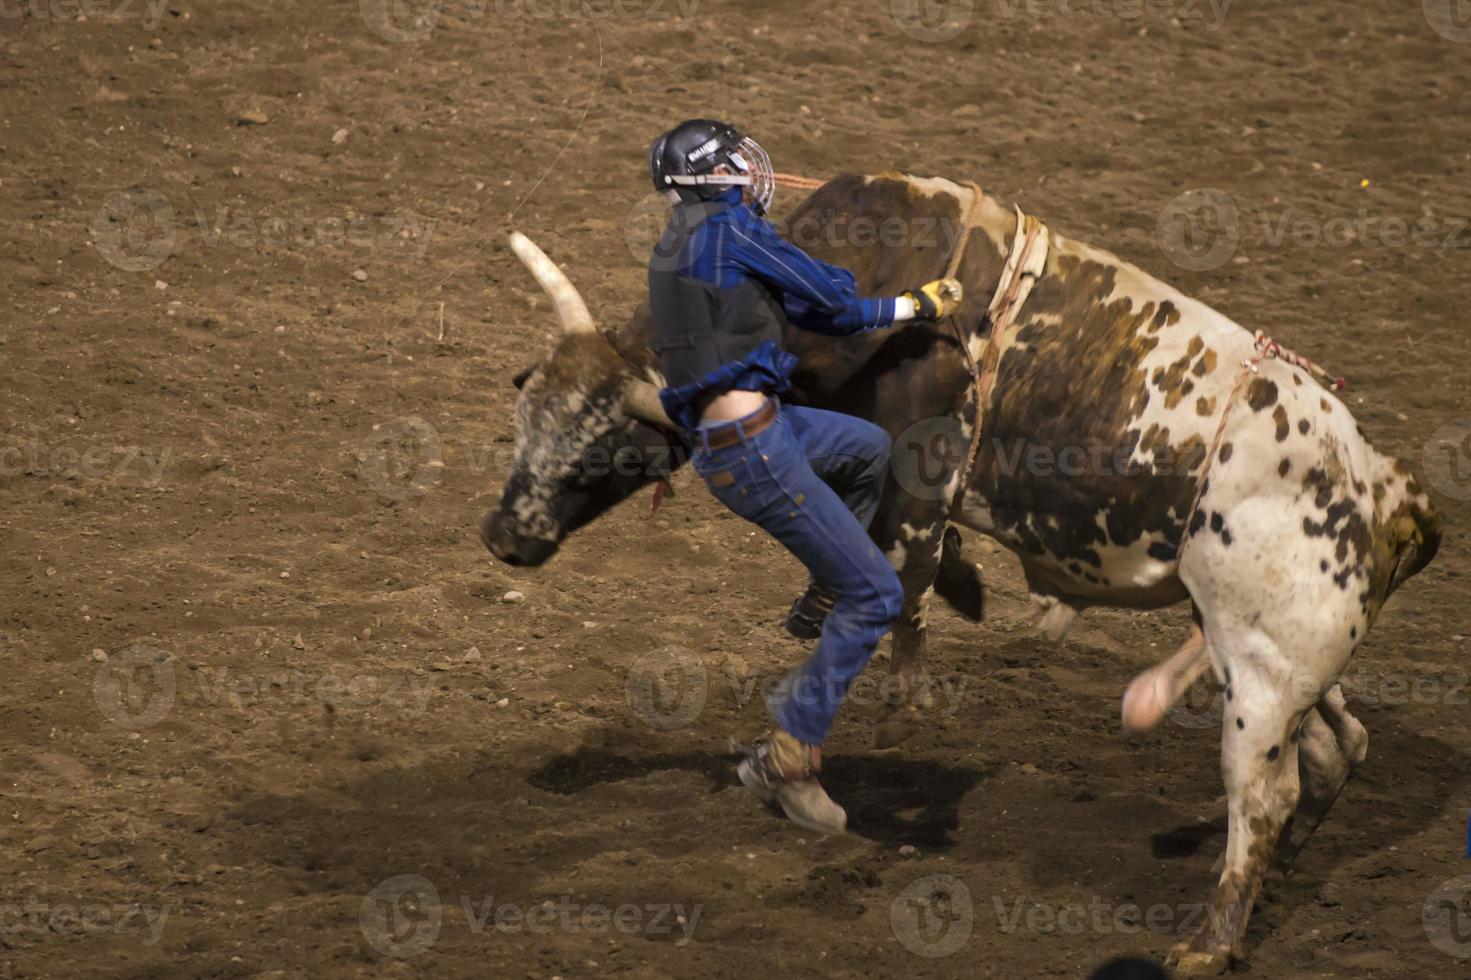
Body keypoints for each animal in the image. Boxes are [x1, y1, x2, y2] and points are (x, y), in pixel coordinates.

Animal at [479, 171, 1435, 965]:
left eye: (602, 449)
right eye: (525, 419)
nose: (503, 537)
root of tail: (1388, 490)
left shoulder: (917, 471)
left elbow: (895, 577)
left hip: (1265, 669)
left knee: (1263, 793)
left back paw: (1207, 942)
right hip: (1266, 655)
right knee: (1334, 748)